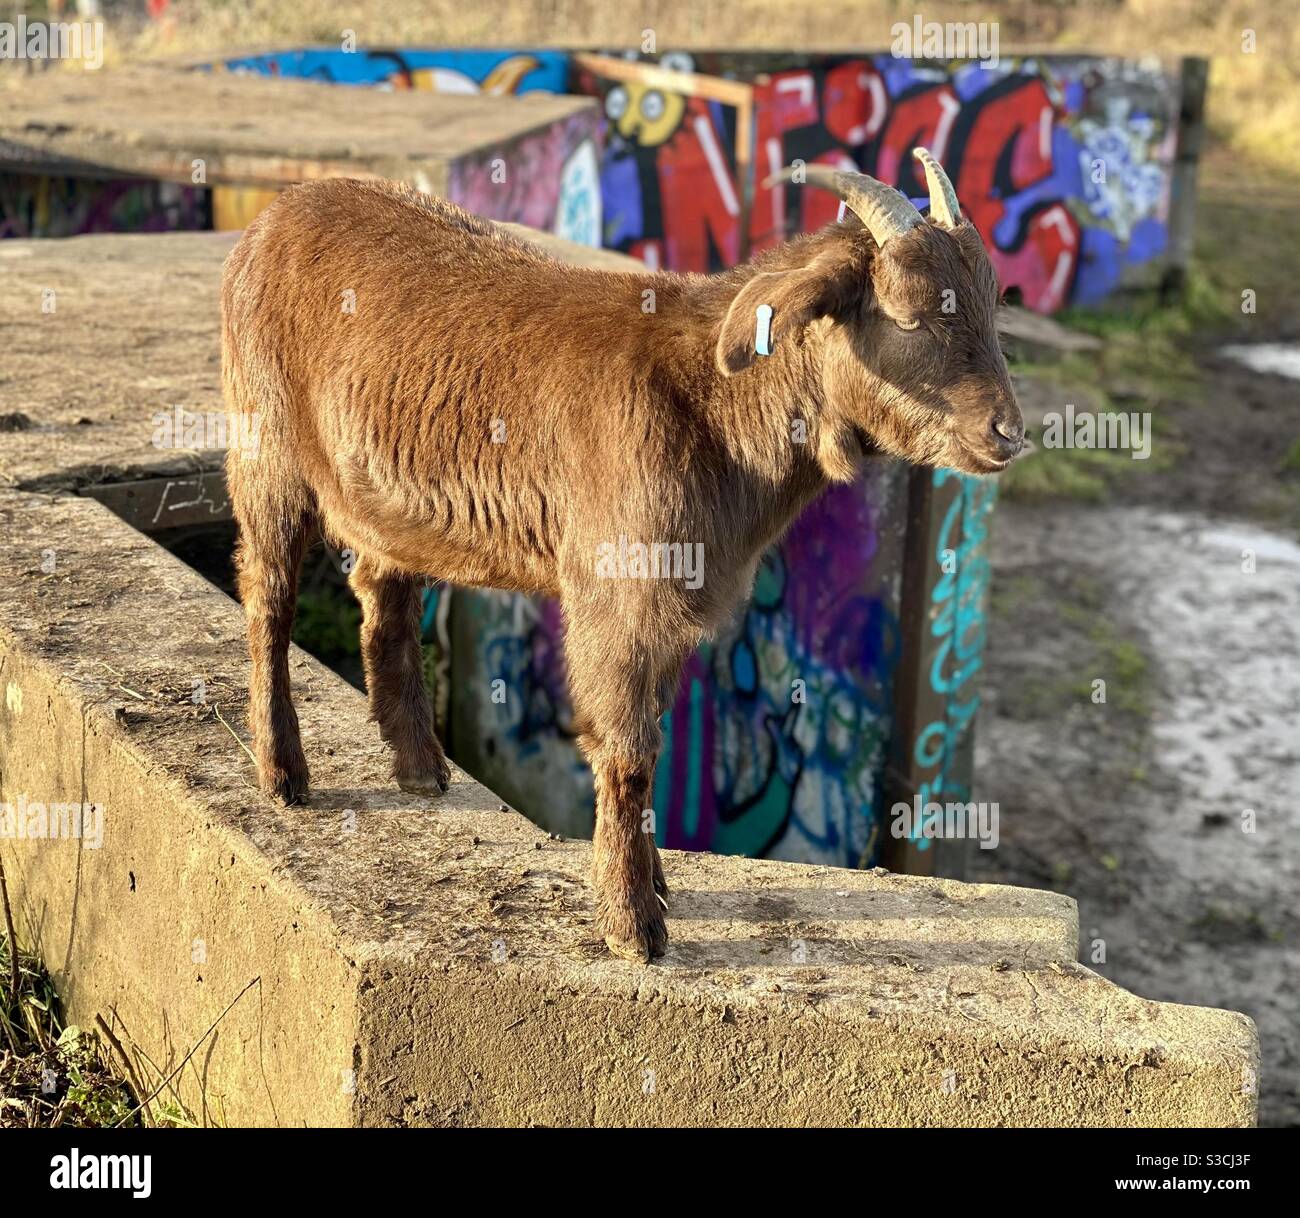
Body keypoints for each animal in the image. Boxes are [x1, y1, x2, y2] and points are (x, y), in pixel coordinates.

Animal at [226, 147, 1024, 961]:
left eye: (990, 305)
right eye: (908, 314)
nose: (1007, 433)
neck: (711, 401)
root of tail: (275, 216)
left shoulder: (674, 602)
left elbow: (655, 738)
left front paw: (655, 886)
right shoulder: (619, 595)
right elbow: (628, 748)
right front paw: (632, 920)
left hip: (383, 496)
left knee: (382, 591)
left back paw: (419, 768)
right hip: (266, 444)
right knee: (269, 597)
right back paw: (282, 773)